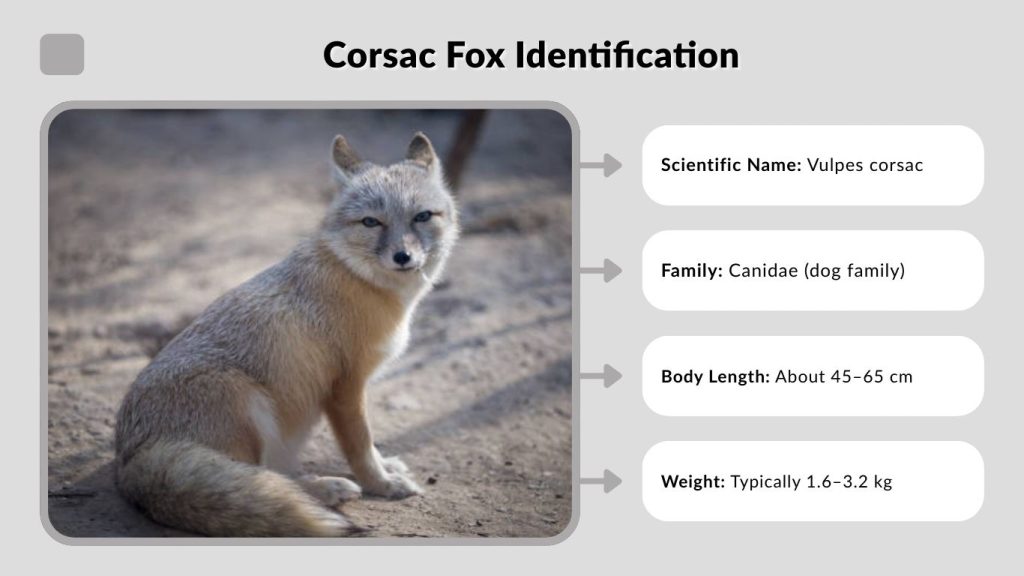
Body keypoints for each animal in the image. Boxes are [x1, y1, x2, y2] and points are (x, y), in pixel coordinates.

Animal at [114, 132, 459, 537]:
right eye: (371, 222)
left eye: (422, 216)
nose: (403, 256)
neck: (356, 278)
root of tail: (127, 459)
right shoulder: (345, 386)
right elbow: (359, 445)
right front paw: (383, 484)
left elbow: (370, 445)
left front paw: (386, 466)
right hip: (248, 404)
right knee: (263, 478)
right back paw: (327, 489)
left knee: (270, 477)